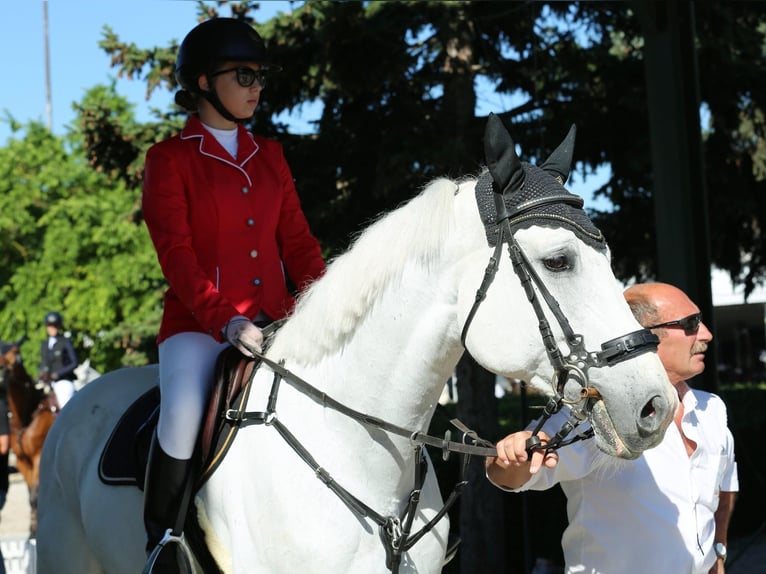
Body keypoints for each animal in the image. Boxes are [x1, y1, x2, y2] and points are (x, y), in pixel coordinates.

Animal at [0, 344, 57, 536]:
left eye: (16, 355)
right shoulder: (22, 461)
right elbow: (31, 496)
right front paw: (32, 530)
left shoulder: (38, 456)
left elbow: (35, 496)